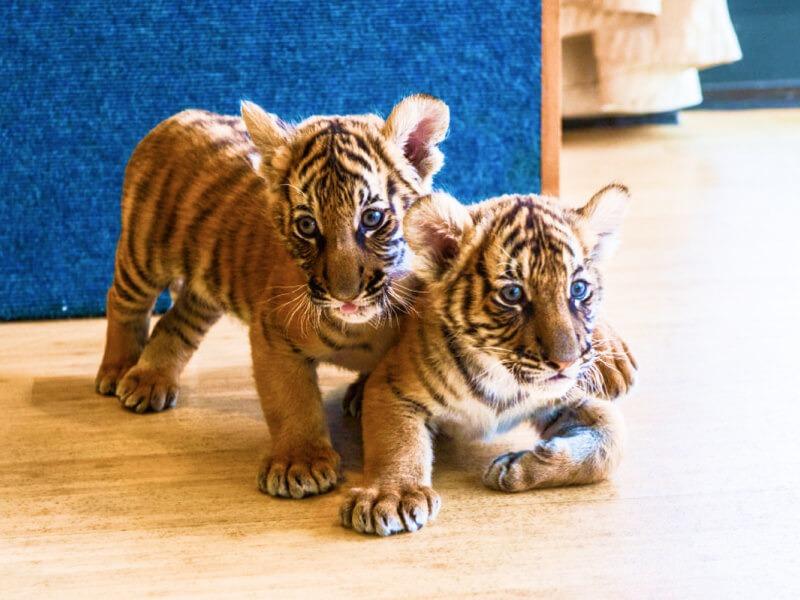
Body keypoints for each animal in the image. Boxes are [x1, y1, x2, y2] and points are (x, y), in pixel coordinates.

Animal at [340, 184, 636, 535]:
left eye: (578, 289)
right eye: (513, 294)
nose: (566, 363)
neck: (502, 378)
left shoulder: (568, 397)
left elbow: (612, 444)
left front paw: (522, 467)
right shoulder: (392, 387)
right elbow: (397, 442)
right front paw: (391, 495)